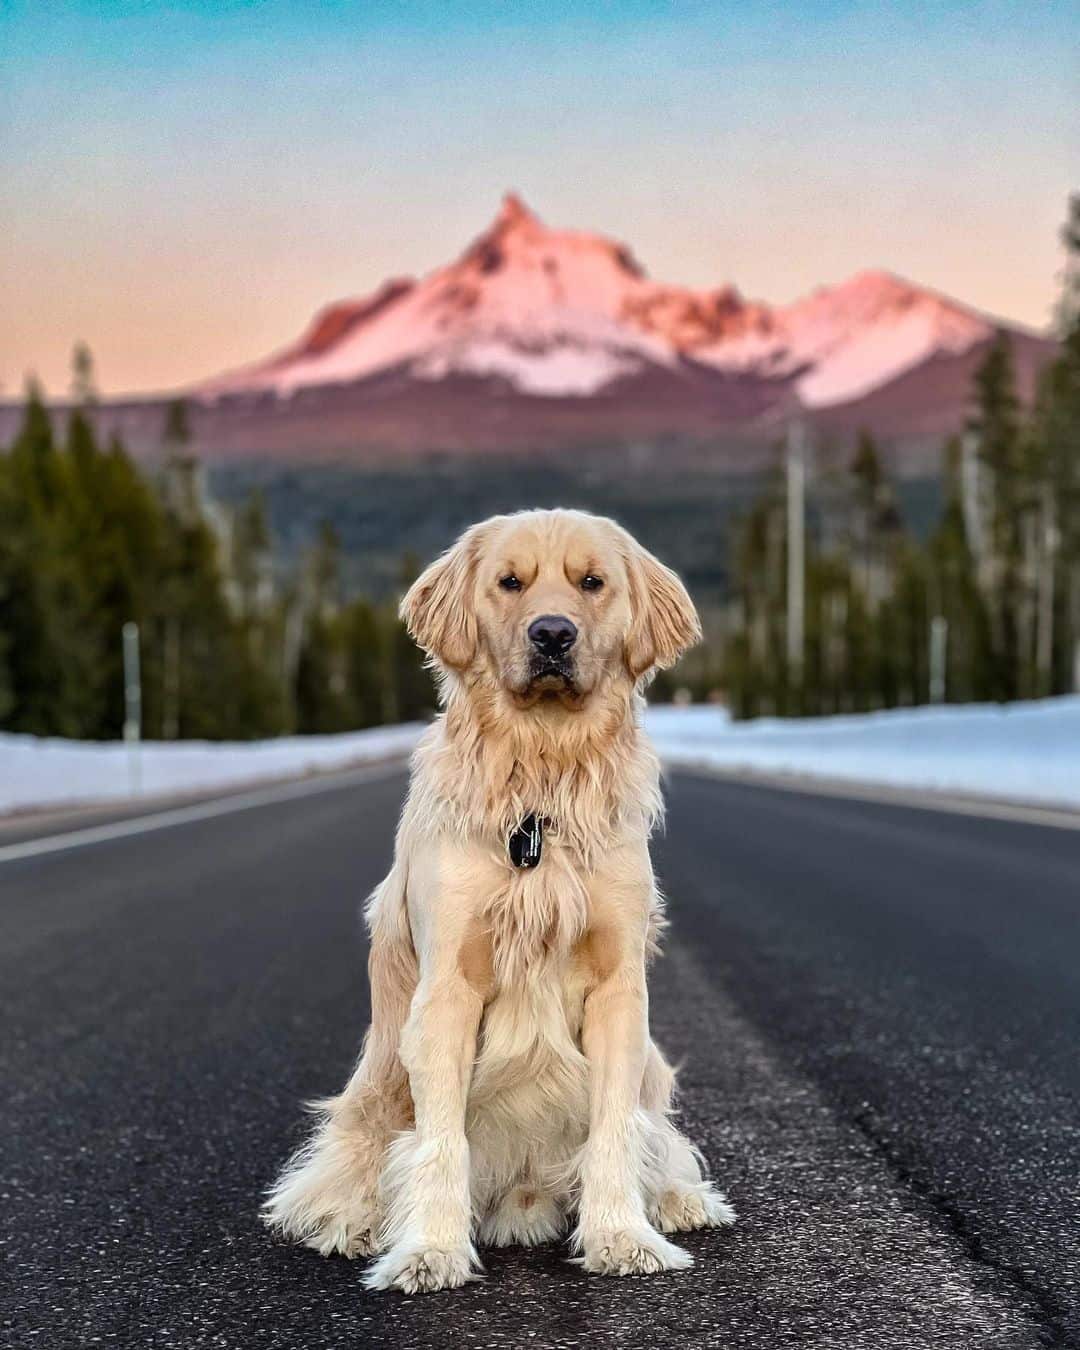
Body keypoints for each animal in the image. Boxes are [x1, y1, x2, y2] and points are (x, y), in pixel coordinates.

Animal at [263, 507, 734, 1296]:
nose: (552, 635)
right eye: (510, 582)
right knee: (344, 1169)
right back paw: (352, 1223)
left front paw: (621, 1237)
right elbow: (440, 1142)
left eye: (591, 582)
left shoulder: (618, 987)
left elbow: (614, 1130)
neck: (541, 775)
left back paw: (678, 1201)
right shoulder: (449, 985)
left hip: (651, 1070)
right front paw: (429, 1251)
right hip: (373, 1092)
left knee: (656, 1137)